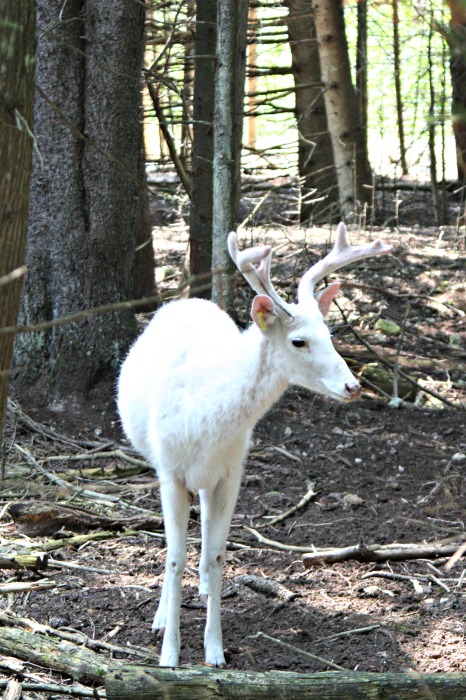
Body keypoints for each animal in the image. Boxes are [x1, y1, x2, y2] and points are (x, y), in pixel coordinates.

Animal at [115, 223, 390, 668]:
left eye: (330, 334)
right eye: (299, 341)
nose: (353, 386)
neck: (205, 421)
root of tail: (190, 299)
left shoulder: (231, 472)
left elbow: (217, 554)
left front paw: (214, 651)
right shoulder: (171, 471)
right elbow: (174, 556)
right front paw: (169, 653)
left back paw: (203, 589)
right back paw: (160, 616)